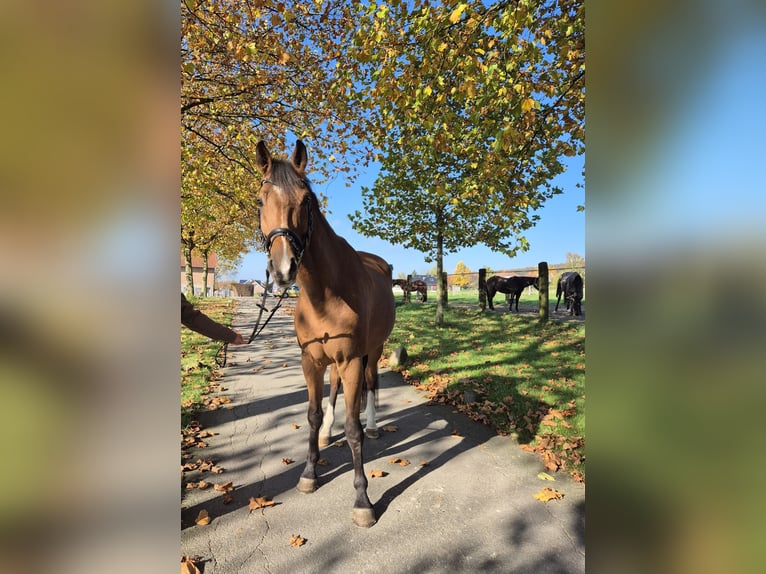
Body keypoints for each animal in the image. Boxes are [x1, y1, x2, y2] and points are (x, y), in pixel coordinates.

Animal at [255, 141, 396, 532]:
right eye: (260, 200)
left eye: (307, 200)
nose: (283, 269)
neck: (325, 293)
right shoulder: (311, 361)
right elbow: (313, 414)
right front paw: (308, 473)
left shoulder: (351, 360)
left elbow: (354, 429)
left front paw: (363, 501)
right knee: (335, 393)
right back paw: (328, 433)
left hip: (373, 350)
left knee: (372, 383)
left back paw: (374, 425)